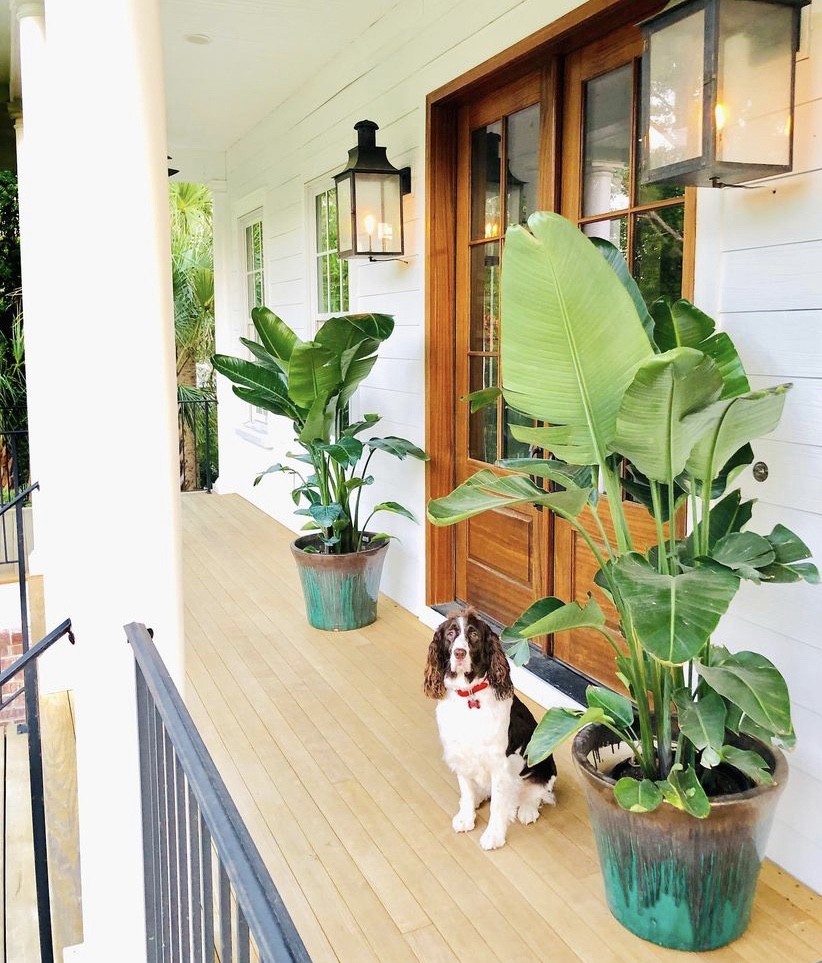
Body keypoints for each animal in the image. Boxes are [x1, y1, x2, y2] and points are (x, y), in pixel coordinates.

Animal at [423, 609, 557, 850]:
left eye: (474, 635)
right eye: (450, 634)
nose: (459, 653)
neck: (469, 695)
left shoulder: (499, 764)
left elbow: (498, 806)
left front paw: (493, 835)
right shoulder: (460, 755)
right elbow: (466, 790)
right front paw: (466, 818)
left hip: (544, 761)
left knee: (538, 792)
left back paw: (527, 810)